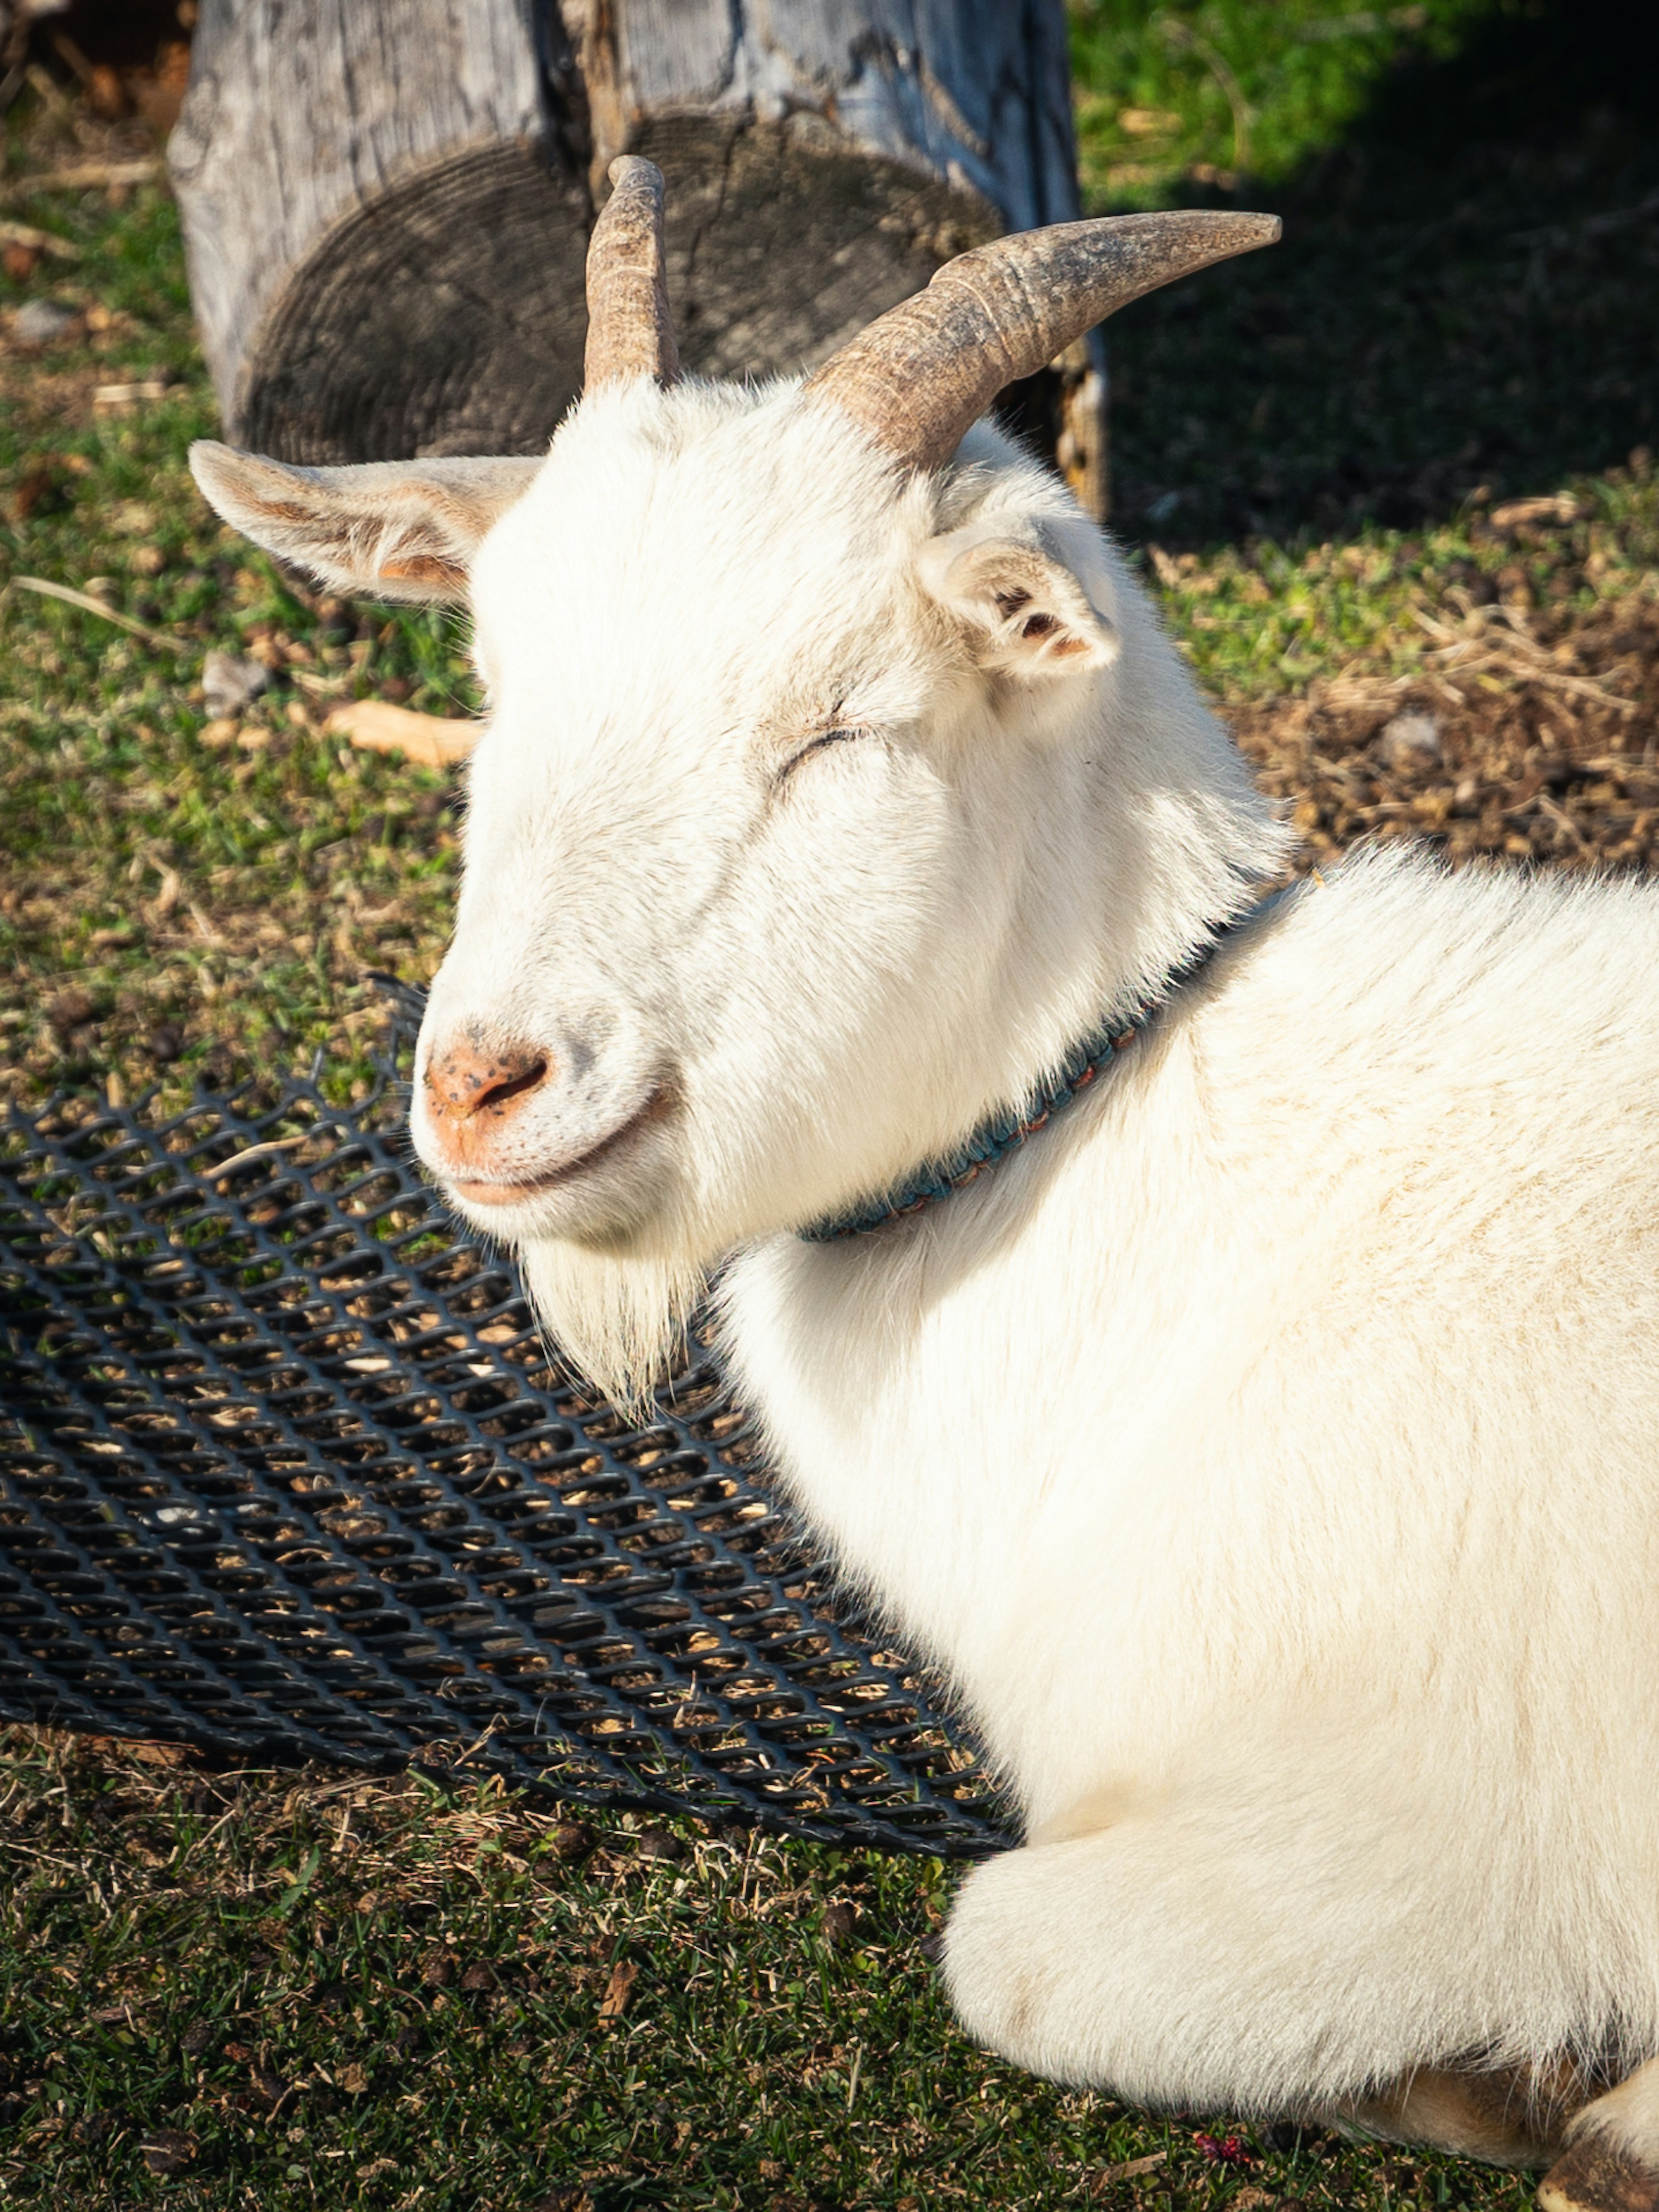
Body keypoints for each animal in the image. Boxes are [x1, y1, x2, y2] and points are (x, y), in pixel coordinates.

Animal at [198, 160, 1659, 2212]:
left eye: (835, 724)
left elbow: (1006, 1954)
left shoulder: (1451, 1836)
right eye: (490, 683)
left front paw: (1550, 2095)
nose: (487, 1086)